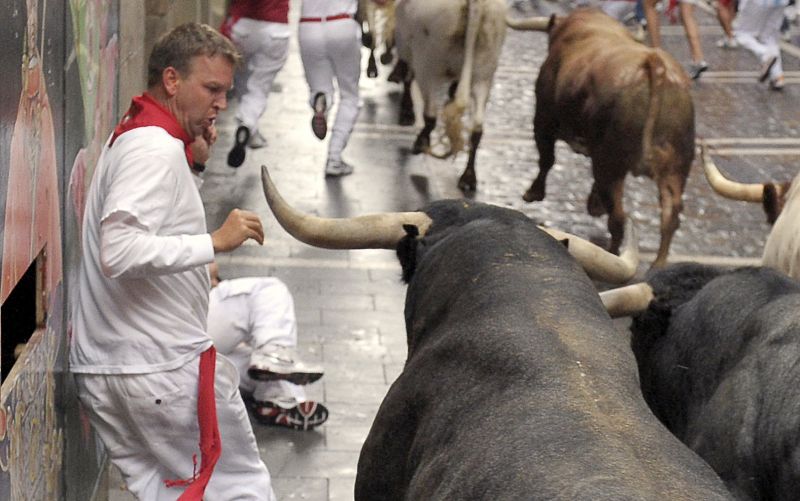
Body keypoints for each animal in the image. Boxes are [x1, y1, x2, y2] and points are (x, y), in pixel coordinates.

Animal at [396, 0, 506, 191]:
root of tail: (476, 4)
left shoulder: (406, 45)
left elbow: (407, 75)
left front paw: (406, 113)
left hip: (429, 65)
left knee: (430, 114)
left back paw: (420, 143)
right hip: (484, 74)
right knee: (477, 128)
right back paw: (468, 177)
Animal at [516, 8, 696, 266]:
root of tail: (654, 63)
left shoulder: (543, 120)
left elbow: (546, 159)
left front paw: (533, 193)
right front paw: (595, 204)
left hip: (611, 163)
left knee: (618, 217)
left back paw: (612, 254)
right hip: (676, 166)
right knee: (670, 216)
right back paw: (657, 265)